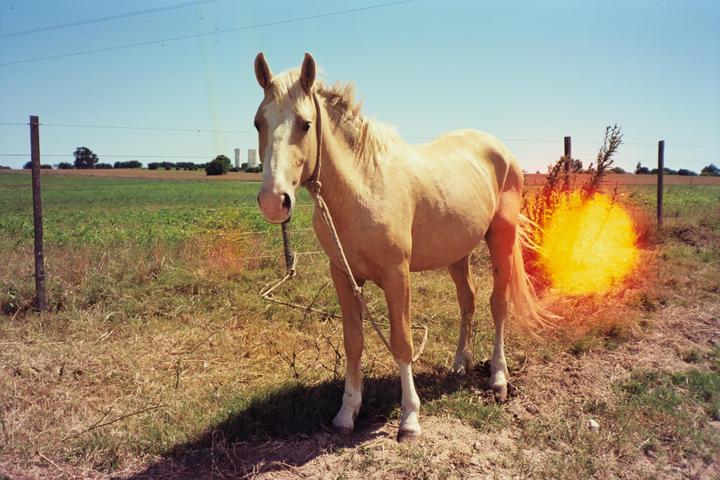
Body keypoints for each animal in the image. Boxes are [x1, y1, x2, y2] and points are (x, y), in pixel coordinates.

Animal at [253, 52, 551, 442]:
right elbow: (353, 342)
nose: (274, 201)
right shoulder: (344, 276)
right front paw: (347, 412)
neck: (364, 186)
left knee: (497, 305)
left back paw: (498, 379)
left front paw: (409, 419)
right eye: (258, 122)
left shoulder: (398, 276)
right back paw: (459, 364)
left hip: (501, 238)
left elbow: (402, 342)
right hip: (457, 252)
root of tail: (500, 150)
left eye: (305, 124)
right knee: (467, 301)